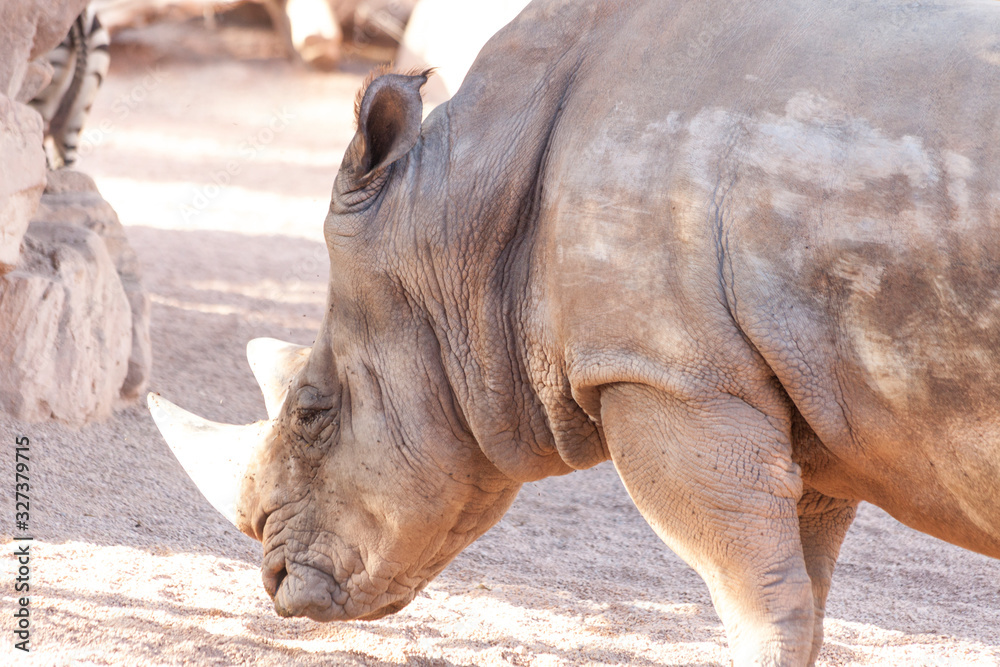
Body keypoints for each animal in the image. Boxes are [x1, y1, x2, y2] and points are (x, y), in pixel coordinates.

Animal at [148, 0, 1000, 664]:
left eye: (311, 412)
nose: (276, 582)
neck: (461, 219)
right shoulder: (794, 390)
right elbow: (806, 593)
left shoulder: (668, 373)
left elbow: (760, 600)